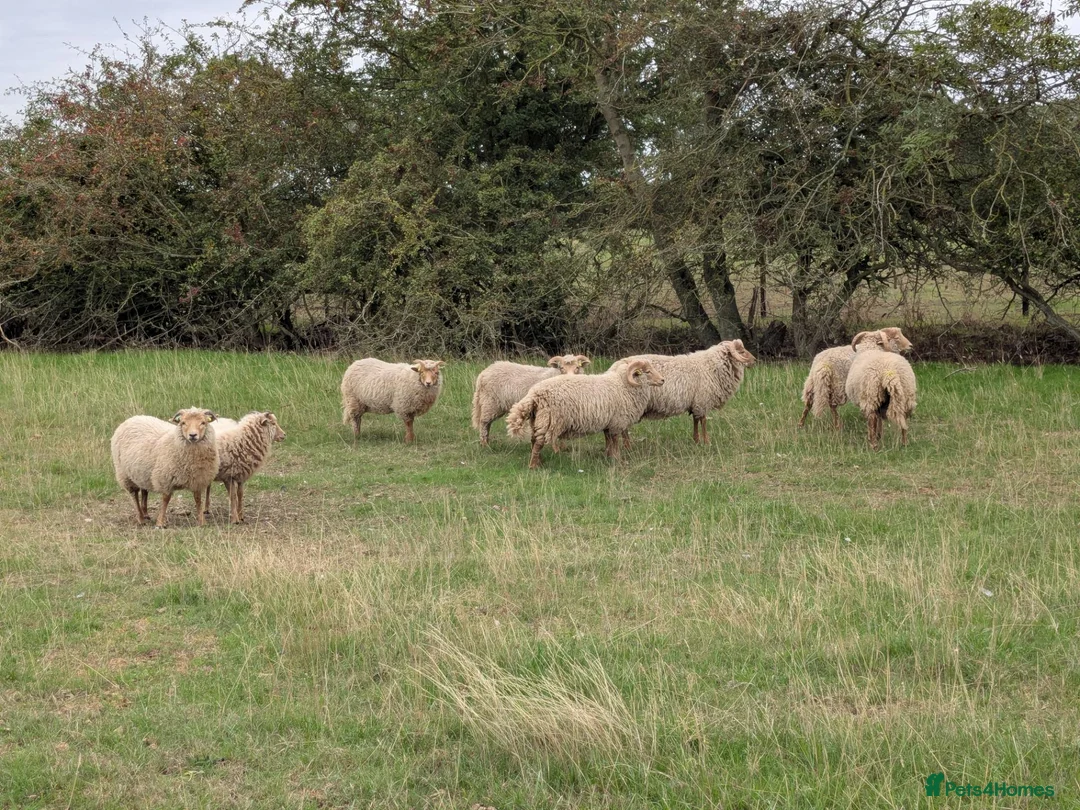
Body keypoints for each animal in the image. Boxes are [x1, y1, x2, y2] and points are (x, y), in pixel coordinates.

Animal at [506, 359, 665, 469]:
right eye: (647, 372)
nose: (662, 380)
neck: (623, 385)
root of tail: (534, 394)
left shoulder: (608, 422)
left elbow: (608, 440)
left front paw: (608, 456)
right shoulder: (617, 422)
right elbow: (615, 441)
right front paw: (617, 459)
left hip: (538, 419)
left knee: (534, 440)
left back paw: (539, 462)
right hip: (550, 419)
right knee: (539, 442)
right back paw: (534, 466)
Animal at [611, 339, 757, 445]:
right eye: (741, 351)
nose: (754, 360)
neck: (712, 367)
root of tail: (615, 367)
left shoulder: (696, 402)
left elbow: (696, 420)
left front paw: (696, 440)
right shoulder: (703, 401)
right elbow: (703, 421)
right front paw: (707, 442)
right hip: (629, 403)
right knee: (624, 428)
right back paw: (628, 447)